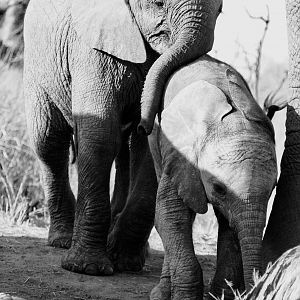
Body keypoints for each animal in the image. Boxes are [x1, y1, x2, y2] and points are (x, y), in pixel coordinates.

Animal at [23, 0, 221, 276]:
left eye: (220, 11)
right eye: (158, 4)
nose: (144, 124)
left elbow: (148, 151)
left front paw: (125, 263)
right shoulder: (92, 50)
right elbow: (101, 135)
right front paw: (87, 268)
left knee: (124, 155)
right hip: (39, 65)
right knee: (48, 142)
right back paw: (62, 240)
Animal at [149, 55, 278, 298]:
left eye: (272, 190)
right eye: (219, 188)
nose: (252, 291)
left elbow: (230, 226)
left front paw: (221, 294)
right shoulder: (180, 154)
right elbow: (170, 215)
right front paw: (186, 297)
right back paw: (161, 293)